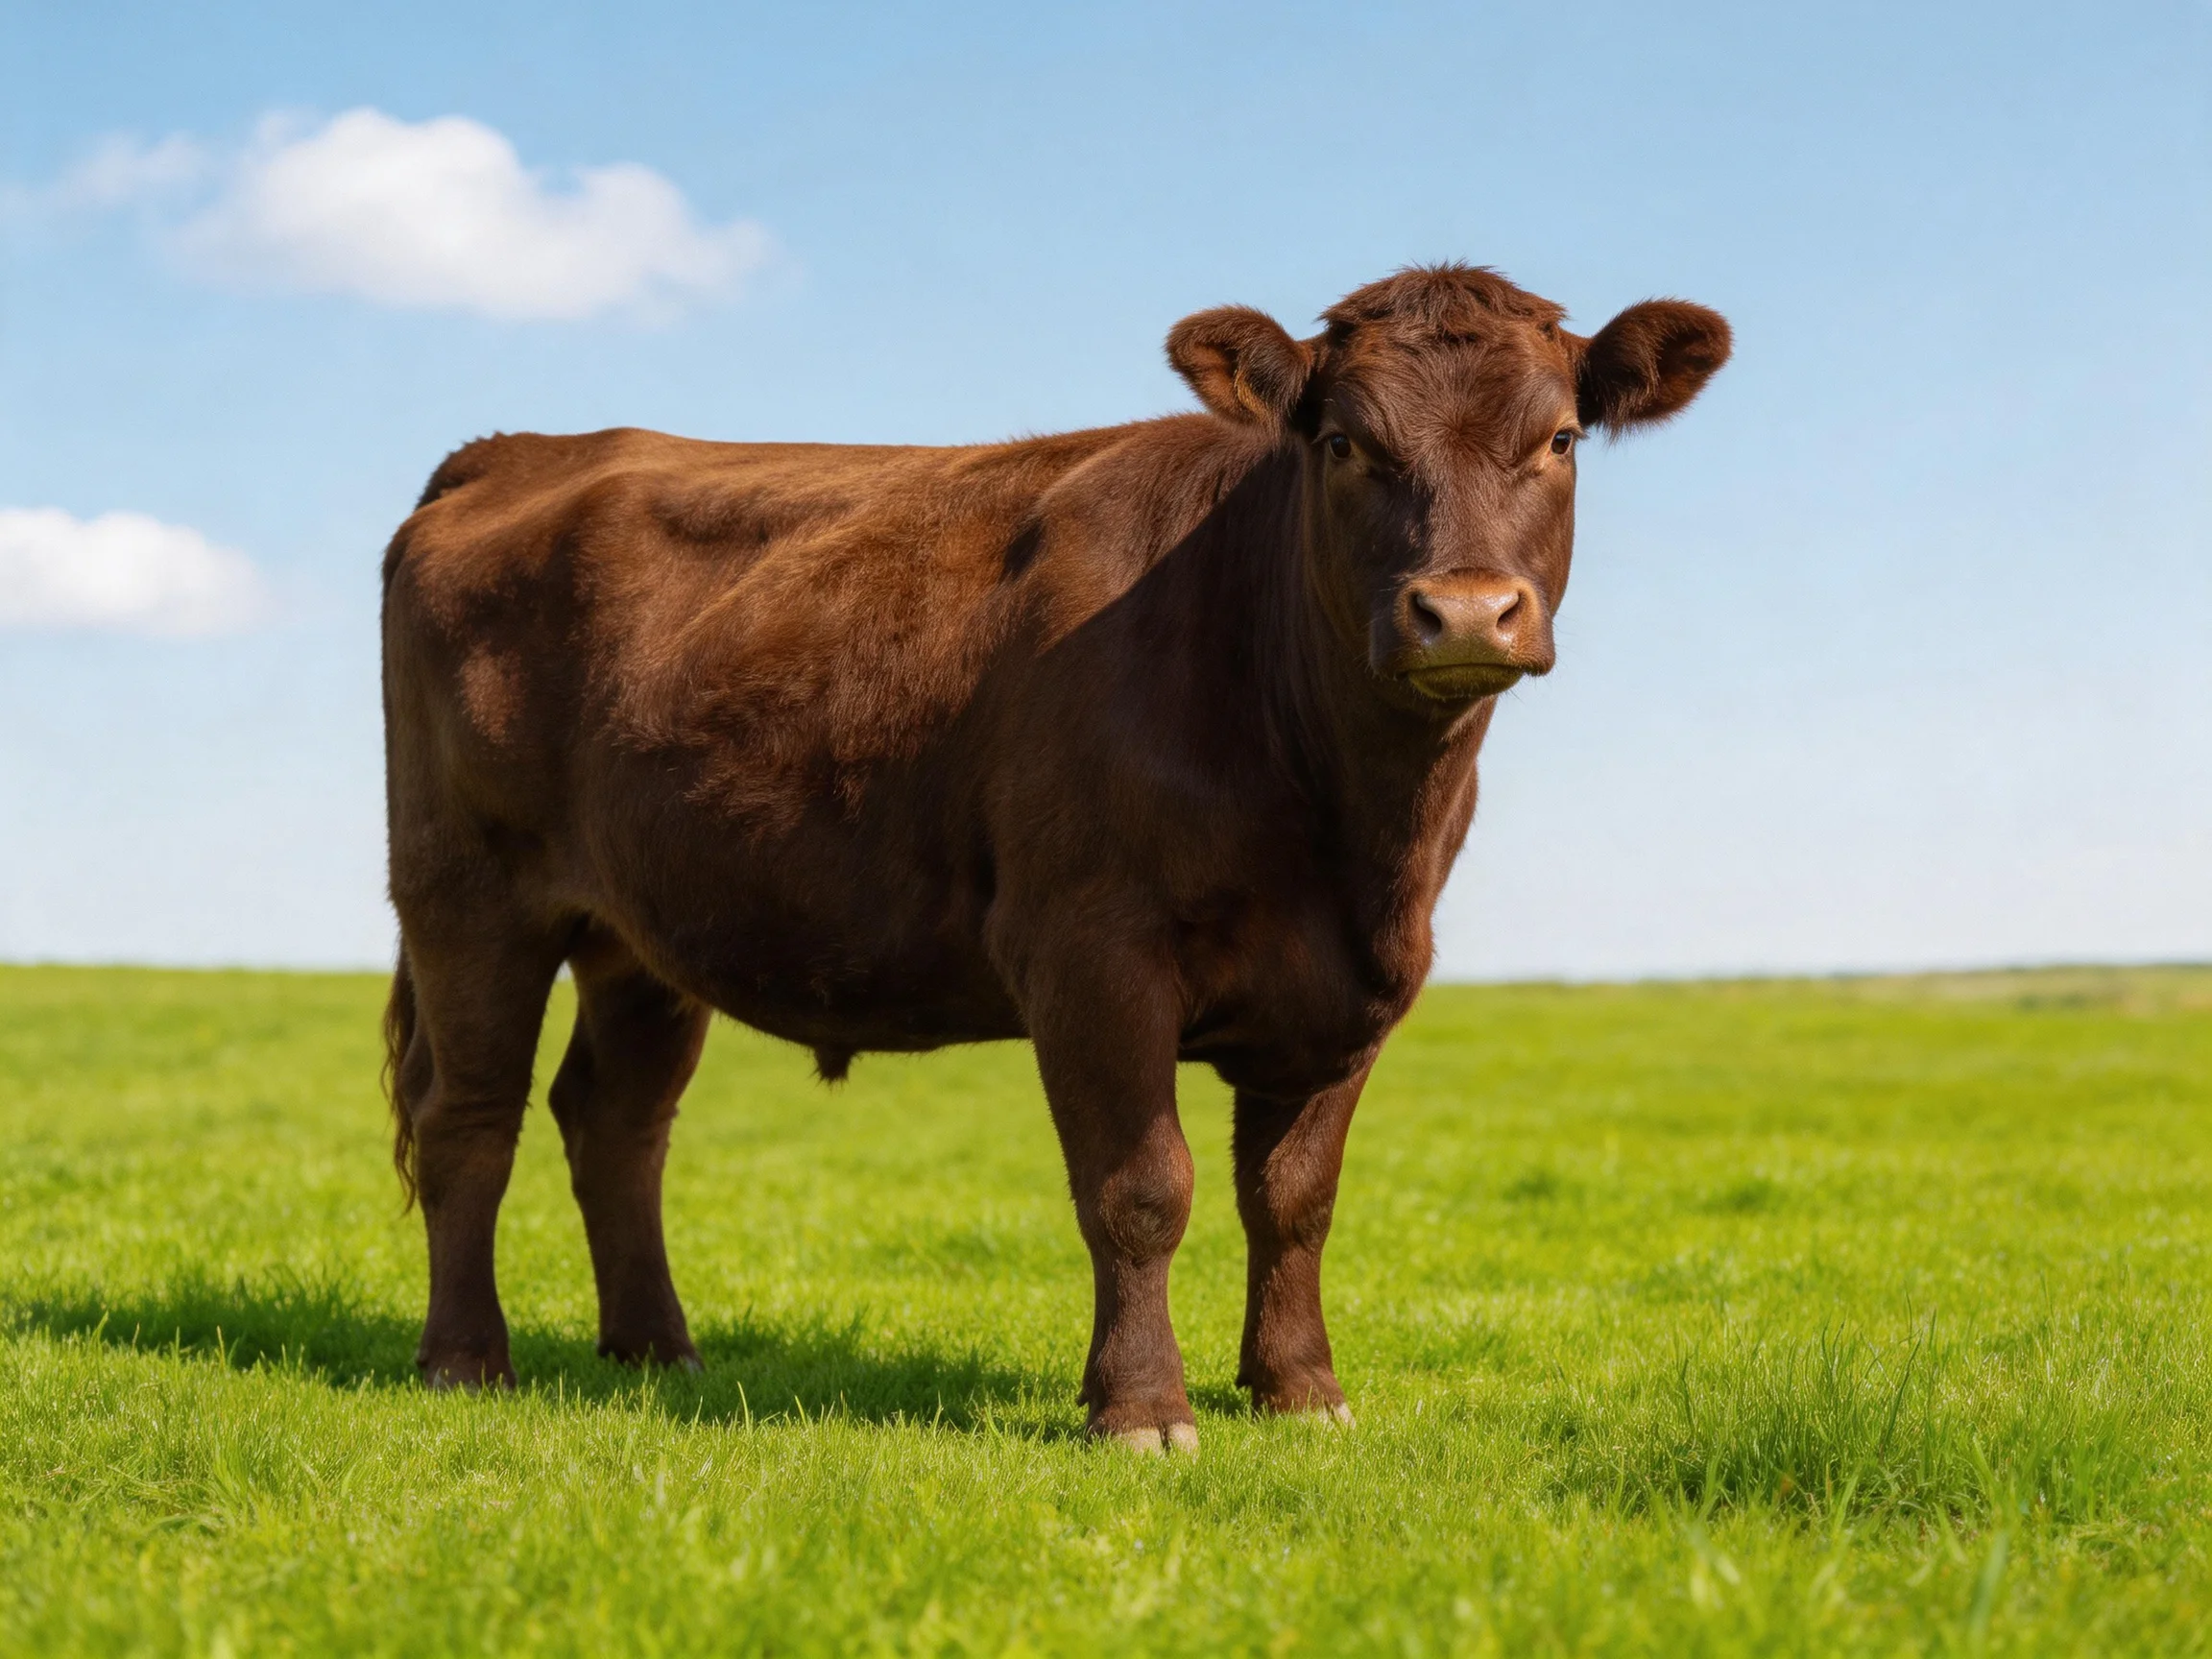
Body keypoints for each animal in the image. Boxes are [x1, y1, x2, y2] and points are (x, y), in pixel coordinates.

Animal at [380, 263, 1729, 1452]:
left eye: (1560, 439)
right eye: (1346, 444)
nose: (1463, 612)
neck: (1345, 816)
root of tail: (527, 447)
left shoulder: (1363, 979)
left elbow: (1294, 1198)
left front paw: (1300, 1393)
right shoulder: (1091, 952)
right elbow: (1141, 1190)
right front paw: (1141, 1411)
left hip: (641, 931)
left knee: (616, 1119)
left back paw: (659, 1351)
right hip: (468, 896)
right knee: (470, 1117)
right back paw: (465, 1362)